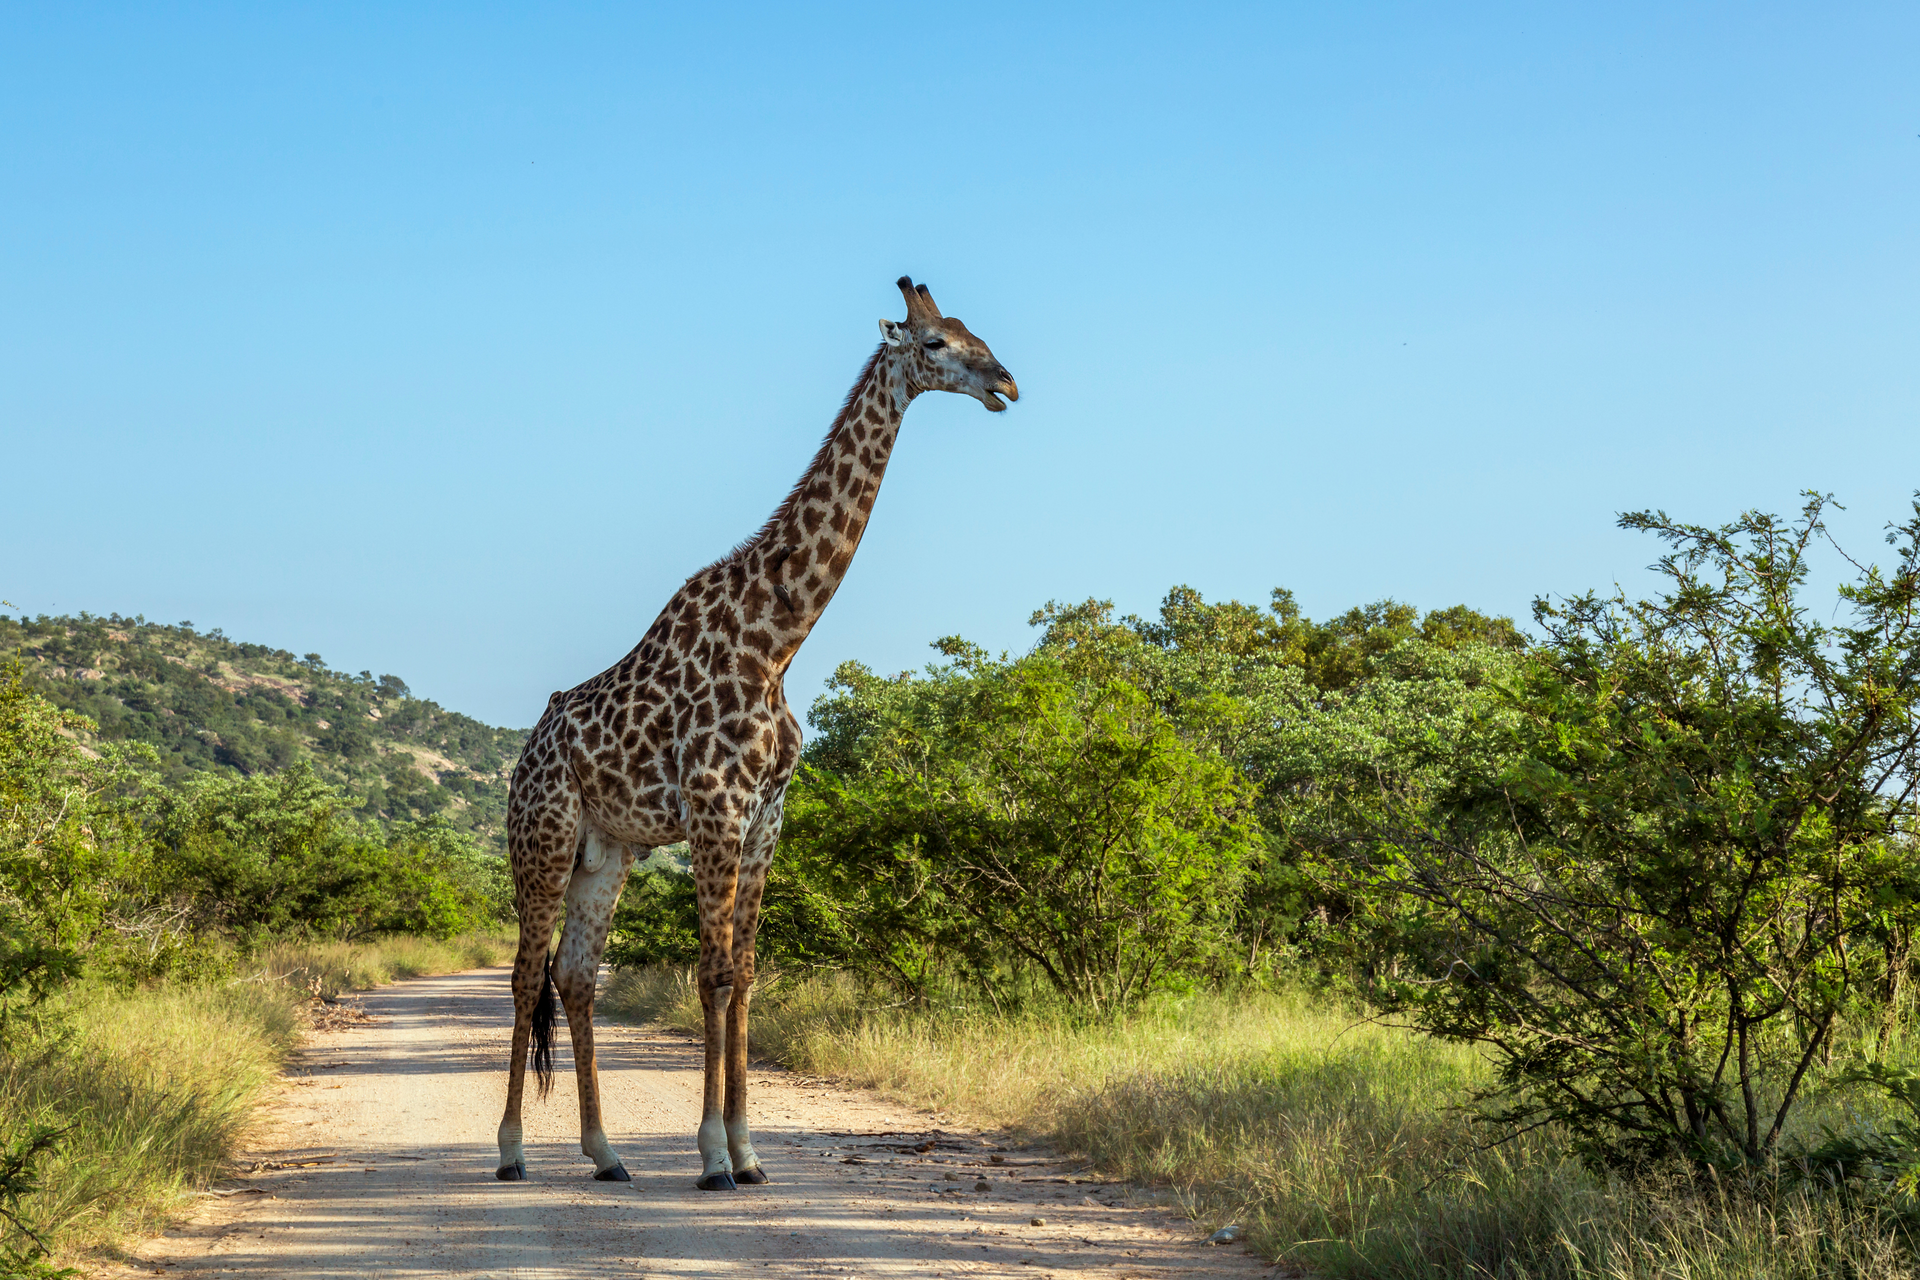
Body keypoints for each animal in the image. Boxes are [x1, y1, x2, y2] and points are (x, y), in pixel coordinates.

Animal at [495, 277, 1017, 1190]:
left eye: (972, 332)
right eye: (935, 345)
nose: (1007, 383)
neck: (777, 637)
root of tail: (527, 751)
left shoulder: (767, 816)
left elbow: (743, 975)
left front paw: (748, 1152)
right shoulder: (714, 805)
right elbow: (709, 975)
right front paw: (711, 1156)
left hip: (606, 851)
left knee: (577, 975)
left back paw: (605, 1154)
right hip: (545, 837)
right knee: (528, 977)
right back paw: (514, 1150)